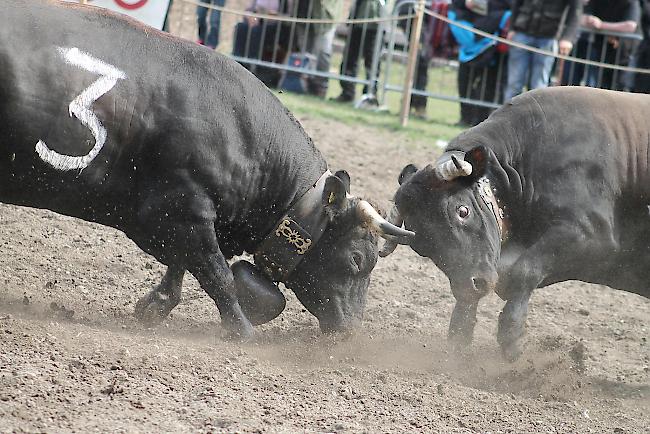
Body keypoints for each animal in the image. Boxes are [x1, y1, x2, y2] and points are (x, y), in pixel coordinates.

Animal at [0, 0, 412, 340]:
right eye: (357, 259)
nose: (350, 329)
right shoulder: (185, 209)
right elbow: (218, 275)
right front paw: (242, 331)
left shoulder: (180, 220)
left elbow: (182, 265)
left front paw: (156, 305)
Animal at [384, 87, 648, 360]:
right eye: (422, 246)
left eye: (463, 211)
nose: (472, 285)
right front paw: (460, 338)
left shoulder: (594, 236)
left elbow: (523, 271)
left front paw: (512, 337)